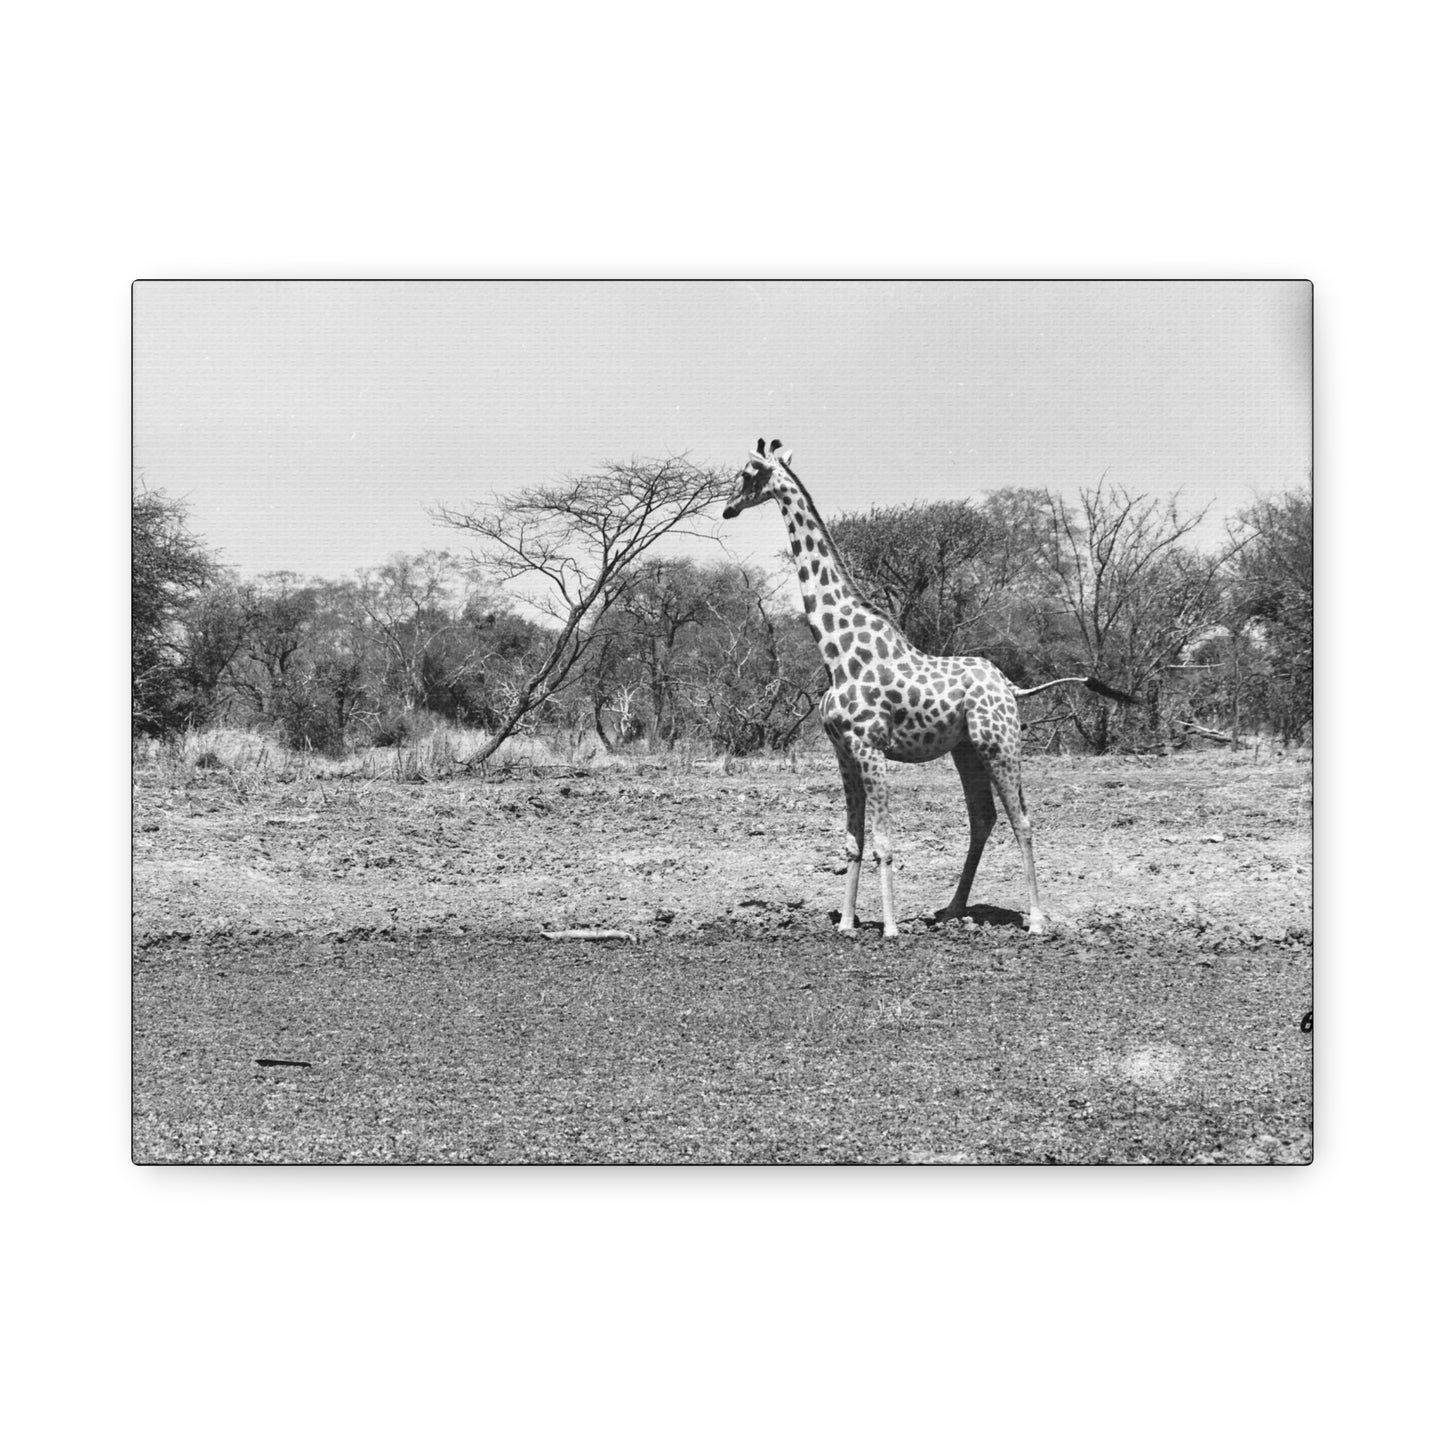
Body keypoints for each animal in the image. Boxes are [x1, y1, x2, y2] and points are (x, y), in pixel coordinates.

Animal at [722, 439, 1136, 939]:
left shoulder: (870, 748)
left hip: (1000, 743)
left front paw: (889, 928)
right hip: (967, 750)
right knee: (983, 818)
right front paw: (846, 923)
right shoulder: (843, 753)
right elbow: (852, 841)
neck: (837, 654)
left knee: (1022, 819)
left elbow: (883, 842)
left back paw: (1036, 920)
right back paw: (953, 909)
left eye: (747, 474)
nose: (727, 509)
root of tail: (1011, 687)